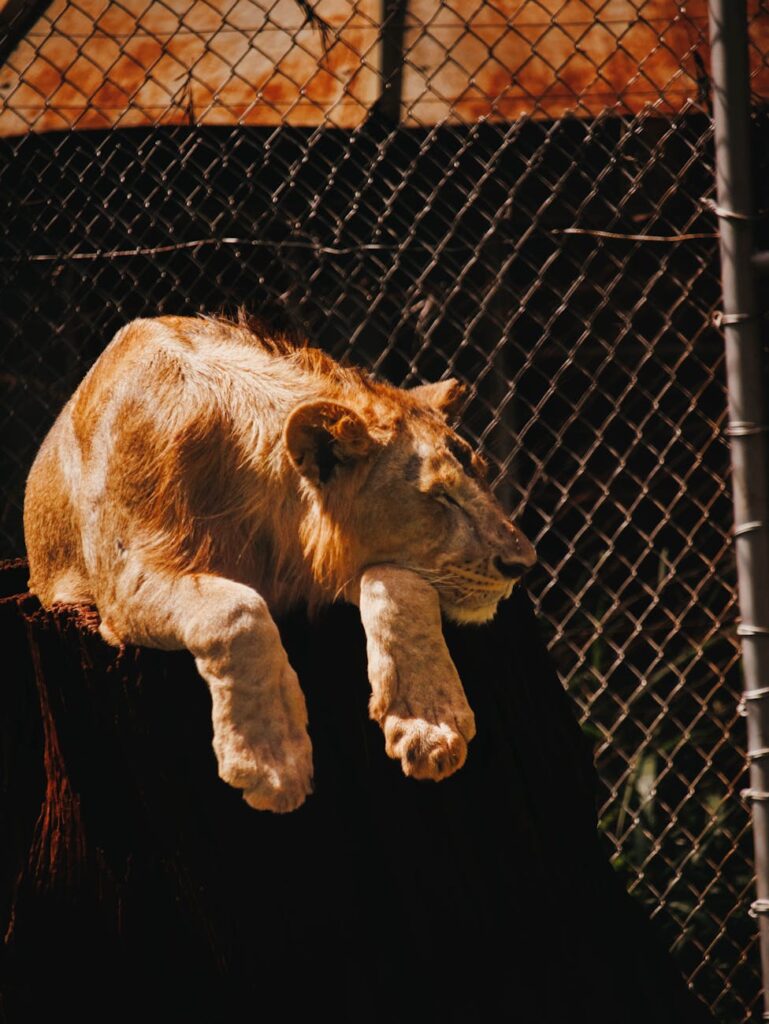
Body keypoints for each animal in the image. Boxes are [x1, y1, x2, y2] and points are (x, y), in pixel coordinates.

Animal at [23, 314, 536, 812]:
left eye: (484, 478)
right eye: (441, 496)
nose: (524, 562)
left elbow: (397, 583)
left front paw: (429, 724)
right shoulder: (123, 576)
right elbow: (237, 610)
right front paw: (271, 762)